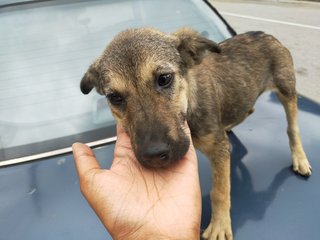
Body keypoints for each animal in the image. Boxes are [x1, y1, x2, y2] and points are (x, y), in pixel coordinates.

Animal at [80, 28, 312, 240]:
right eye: (114, 97)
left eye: (164, 78)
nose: (154, 155)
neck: (190, 105)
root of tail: (264, 33)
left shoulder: (218, 148)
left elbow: (220, 190)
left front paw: (219, 225)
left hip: (287, 89)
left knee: (292, 128)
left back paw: (299, 158)